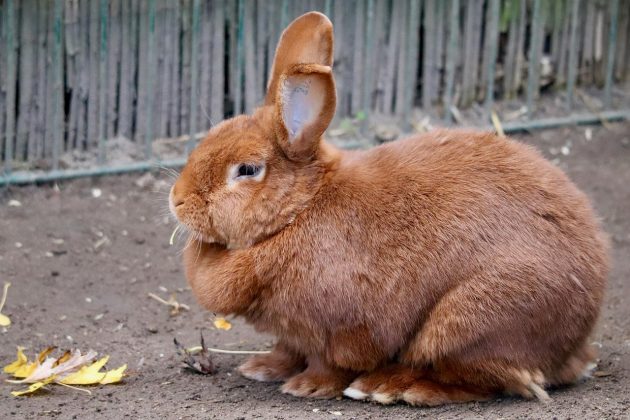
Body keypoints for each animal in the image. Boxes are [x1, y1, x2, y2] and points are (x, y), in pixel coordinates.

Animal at [169, 12, 612, 406]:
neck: (299, 210)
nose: (176, 199)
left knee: (483, 380)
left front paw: (306, 387)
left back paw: (387, 388)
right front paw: (262, 368)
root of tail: (577, 341)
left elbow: (329, 363)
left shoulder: (339, 328)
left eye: (246, 170)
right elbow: (287, 350)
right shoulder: (290, 332)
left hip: (468, 324)